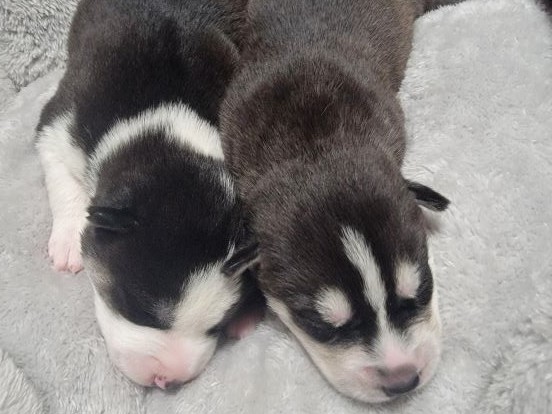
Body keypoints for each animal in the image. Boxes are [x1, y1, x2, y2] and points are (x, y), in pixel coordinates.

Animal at [35, 0, 262, 389]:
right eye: (140, 310)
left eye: (215, 325)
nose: (167, 380)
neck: (162, 125)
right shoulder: (60, 123)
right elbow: (60, 172)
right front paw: (67, 243)